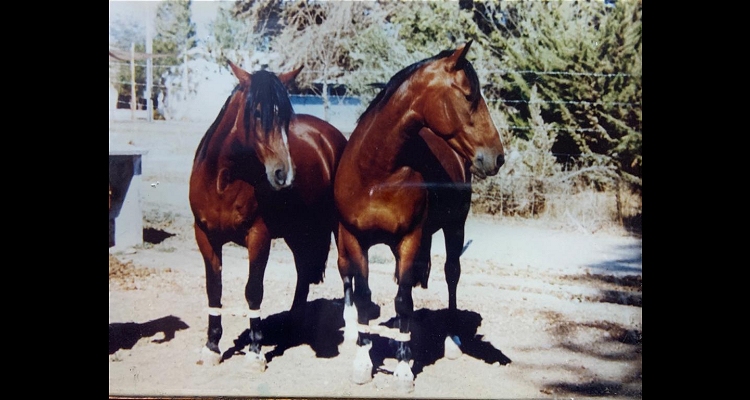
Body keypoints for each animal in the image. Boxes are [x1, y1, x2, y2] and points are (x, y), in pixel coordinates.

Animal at [191, 61, 350, 370]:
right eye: (256, 113)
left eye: (285, 118)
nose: (283, 174)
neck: (223, 180)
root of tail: (330, 136)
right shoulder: (205, 237)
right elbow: (214, 289)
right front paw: (212, 346)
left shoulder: (259, 237)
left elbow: (253, 290)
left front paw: (255, 351)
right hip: (297, 231)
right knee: (303, 272)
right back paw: (293, 325)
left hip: (336, 228)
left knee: (346, 270)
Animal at [334, 41, 506, 390]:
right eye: (469, 95)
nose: (497, 157)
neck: (375, 172)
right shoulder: (355, 239)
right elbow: (364, 297)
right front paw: (363, 362)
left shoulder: (409, 239)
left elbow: (403, 300)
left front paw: (403, 369)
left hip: (455, 227)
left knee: (451, 275)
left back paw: (452, 340)